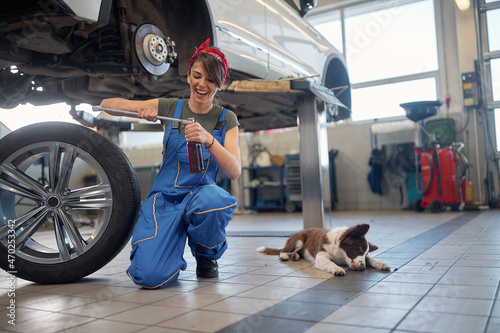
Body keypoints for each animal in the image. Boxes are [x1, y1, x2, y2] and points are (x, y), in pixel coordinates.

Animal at [258, 223, 390, 274]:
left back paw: (295, 256)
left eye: (365, 252)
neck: (340, 254)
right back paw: (285, 256)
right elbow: (330, 263)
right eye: (360, 248)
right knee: (282, 251)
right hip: (299, 240)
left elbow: (371, 259)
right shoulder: (321, 257)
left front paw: (381, 264)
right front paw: (337, 269)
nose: (363, 268)